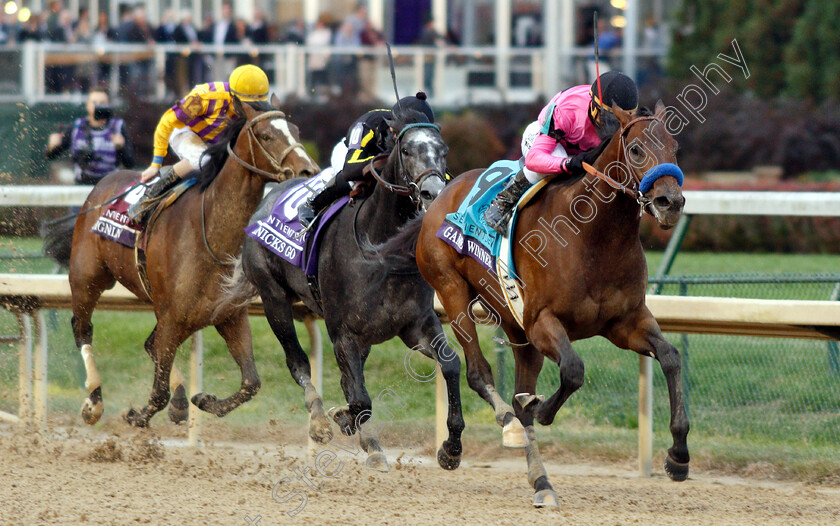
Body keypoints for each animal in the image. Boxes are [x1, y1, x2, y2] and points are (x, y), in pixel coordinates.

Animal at [55, 97, 318, 428]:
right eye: (267, 135)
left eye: (295, 130)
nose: (308, 171)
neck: (211, 236)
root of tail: (102, 184)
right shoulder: (171, 316)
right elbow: (157, 394)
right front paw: (136, 415)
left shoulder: (229, 315)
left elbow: (251, 383)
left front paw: (203, 400)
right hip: (87, 278)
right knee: (82, 328)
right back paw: (94, 399)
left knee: (149, 344)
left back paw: (180, 399)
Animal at [220, 111, 462, 474]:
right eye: (406, 149)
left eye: (444, 150)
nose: (433, 192)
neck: (381, 249)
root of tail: (266, 199)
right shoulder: (343, 332)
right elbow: (359, 398)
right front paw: (340, 418)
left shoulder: (416, 325)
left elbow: (450, 364)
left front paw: (451, 448)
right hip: (273, 298)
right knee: (298, 362)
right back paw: (320, 421)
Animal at [376, 101, 688, 510]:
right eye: (636, 150)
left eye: (675, 148)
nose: (671, 203)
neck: (595, 237)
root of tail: (439, 196)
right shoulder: (542, 322)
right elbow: (573, 370)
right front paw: (540, 408)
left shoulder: (626, 322)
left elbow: (670, 357)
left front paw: (678, 456)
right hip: (452, 291)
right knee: (477, 372)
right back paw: (477, 437)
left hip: (516, 327)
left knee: (513, 385)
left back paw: (541, 481)